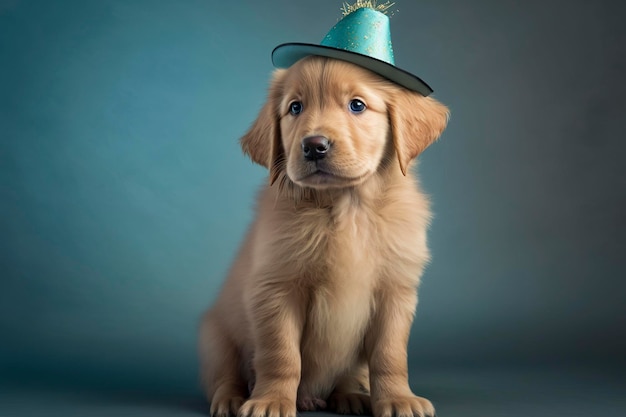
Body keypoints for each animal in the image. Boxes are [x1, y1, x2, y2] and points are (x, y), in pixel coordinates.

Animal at [197, 56, 446, 416]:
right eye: (295, 107)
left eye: (357, 105)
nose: (314, 146)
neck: (347, 208)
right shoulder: (277, 289)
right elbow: (281, 355)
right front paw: (271, 401)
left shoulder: (396, 292)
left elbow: (390, 355)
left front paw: (399, 399)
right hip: (213, 335)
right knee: (226, 374)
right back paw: (231, 398)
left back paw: (351, 395)